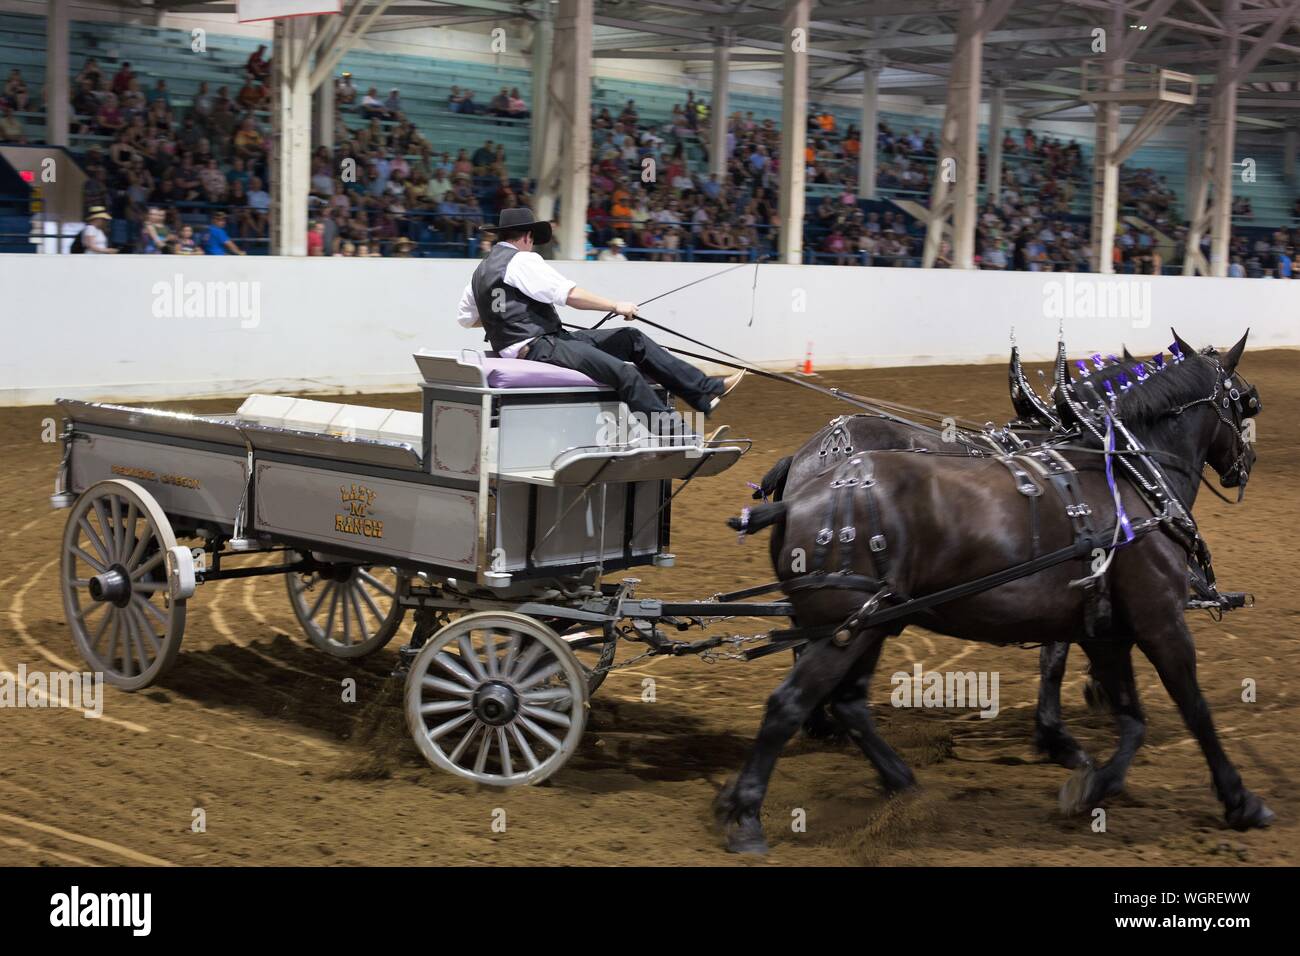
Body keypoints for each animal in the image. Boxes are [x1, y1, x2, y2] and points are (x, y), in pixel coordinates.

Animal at [718, 331, 1269, 853]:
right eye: (1246, 401)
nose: (1245, 465)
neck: (1128, 476)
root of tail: (800, 479)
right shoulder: (1158, 618)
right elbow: (1187, 704)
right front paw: (1237, 799)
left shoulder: (1096, 618)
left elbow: (1110, 696)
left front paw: (1079, 756)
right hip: (852, 625)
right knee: (795, 696)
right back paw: (760, 801)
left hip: (869, 624)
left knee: (843, 697)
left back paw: (893, 779)